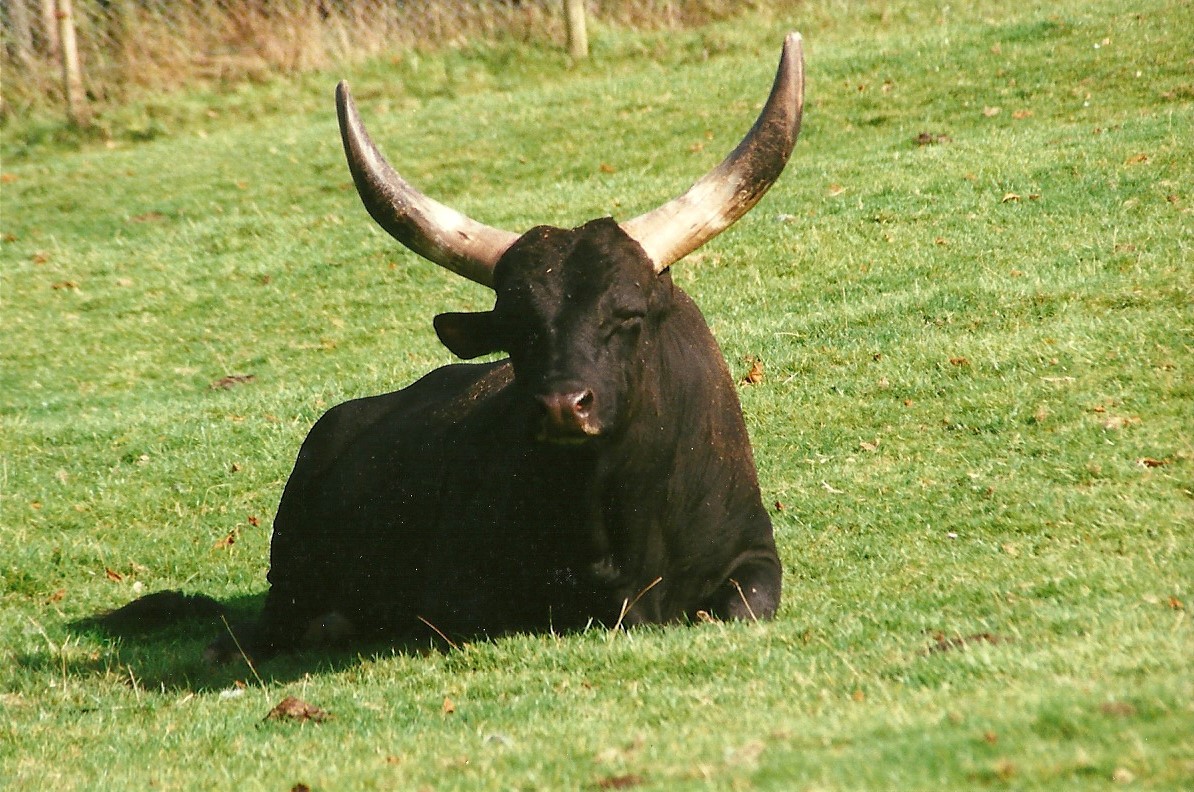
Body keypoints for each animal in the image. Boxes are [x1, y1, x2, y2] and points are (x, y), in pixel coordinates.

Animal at [110, 34, 804, 659]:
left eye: (627, 313)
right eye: (517, 327)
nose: (562, 406)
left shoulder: (754, 556)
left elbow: (744, 606)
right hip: (286, 589)